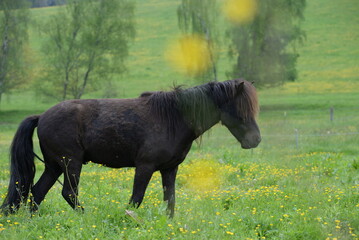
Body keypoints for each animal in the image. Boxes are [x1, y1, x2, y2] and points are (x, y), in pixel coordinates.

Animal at [0, 79, 258, 218]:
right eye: (241, 109)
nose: (255, 140)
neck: (172, 118)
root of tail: (42, 116)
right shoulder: (145, 167)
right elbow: (136, 198)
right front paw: (129, 219)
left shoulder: (170, 169)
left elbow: (170, 200)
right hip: (70, 164)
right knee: (69, 193)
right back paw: (86, 217)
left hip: (54, 166)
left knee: (37, 192)